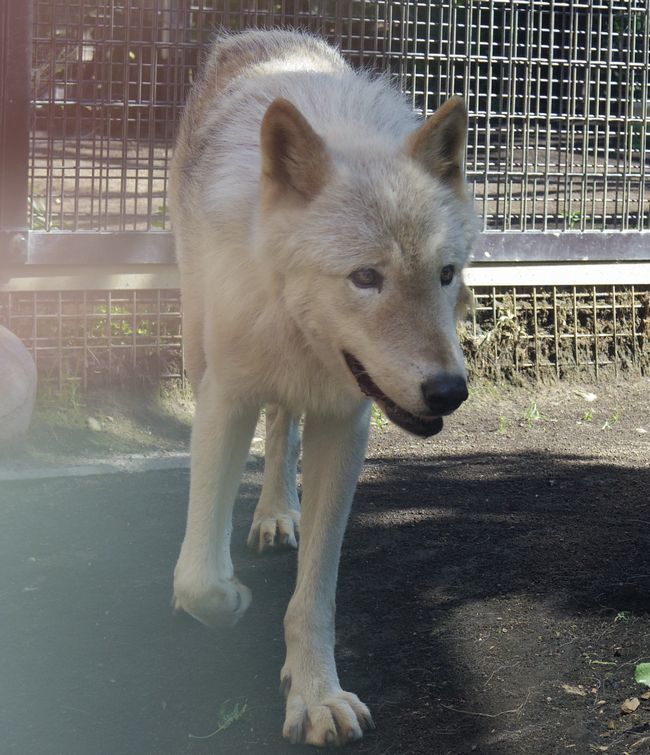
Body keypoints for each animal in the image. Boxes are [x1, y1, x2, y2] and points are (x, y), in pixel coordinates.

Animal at [170, 28, 478, 744]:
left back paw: (277, 512)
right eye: (365, 278)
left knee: (283, 425)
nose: (449, 392)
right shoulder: (224, 398)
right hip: (197, 348)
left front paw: (314, 696)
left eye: (445, 274)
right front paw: (227, 595)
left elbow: (316, 593)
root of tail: (258, 36)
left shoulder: (346, 423)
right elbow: (197, 575)